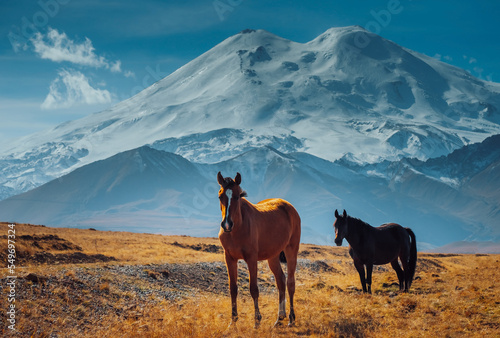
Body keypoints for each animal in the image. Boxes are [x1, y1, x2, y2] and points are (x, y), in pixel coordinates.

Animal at [216, 172, 300, 328]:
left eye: (237, 196)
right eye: (220, 196)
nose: (227, 224)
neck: (237, 228)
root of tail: (290, 207)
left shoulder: (251, 258)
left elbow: (254, 289)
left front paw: (257, 321)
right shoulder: (229, 258)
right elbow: (233, 289)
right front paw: (233, 321)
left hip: (291, 250)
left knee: (290, 283)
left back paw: (291, 318)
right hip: (272, 256)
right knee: (281, 280)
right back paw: (280, 318)